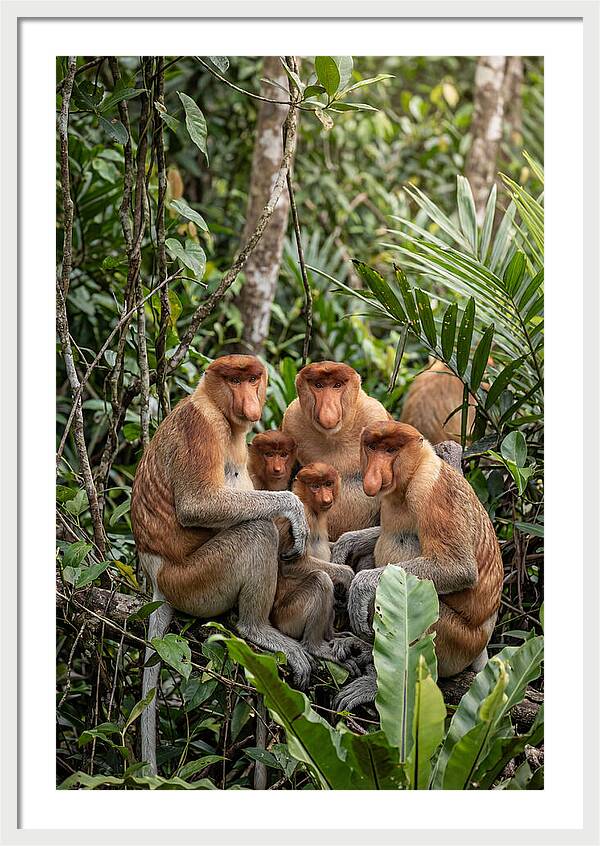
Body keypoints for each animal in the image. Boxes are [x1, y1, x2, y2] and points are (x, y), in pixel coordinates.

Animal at [131, 354, 312, 774]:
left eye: (253, 378)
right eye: (234, 380)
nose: (250, 401)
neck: (215, 405)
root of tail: (157, 579)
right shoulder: (202, 427)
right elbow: (198, 505)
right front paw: (294, 510)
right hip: (195, 581)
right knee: (256, 531)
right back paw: (255, 628)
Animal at [282, 361, 390, 543]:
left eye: (337, 385)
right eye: (318, 385)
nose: (328, 411)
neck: (333, 437)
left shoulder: (374, 414)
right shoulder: (291, 420)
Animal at [331, 421, 503, 712]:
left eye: (391, 450)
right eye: (373, 447)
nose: (374, 474)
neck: (413, 473)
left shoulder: (432, 492)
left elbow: (458, 567)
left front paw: (361, 586)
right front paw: (345, 544)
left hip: (458, 642)